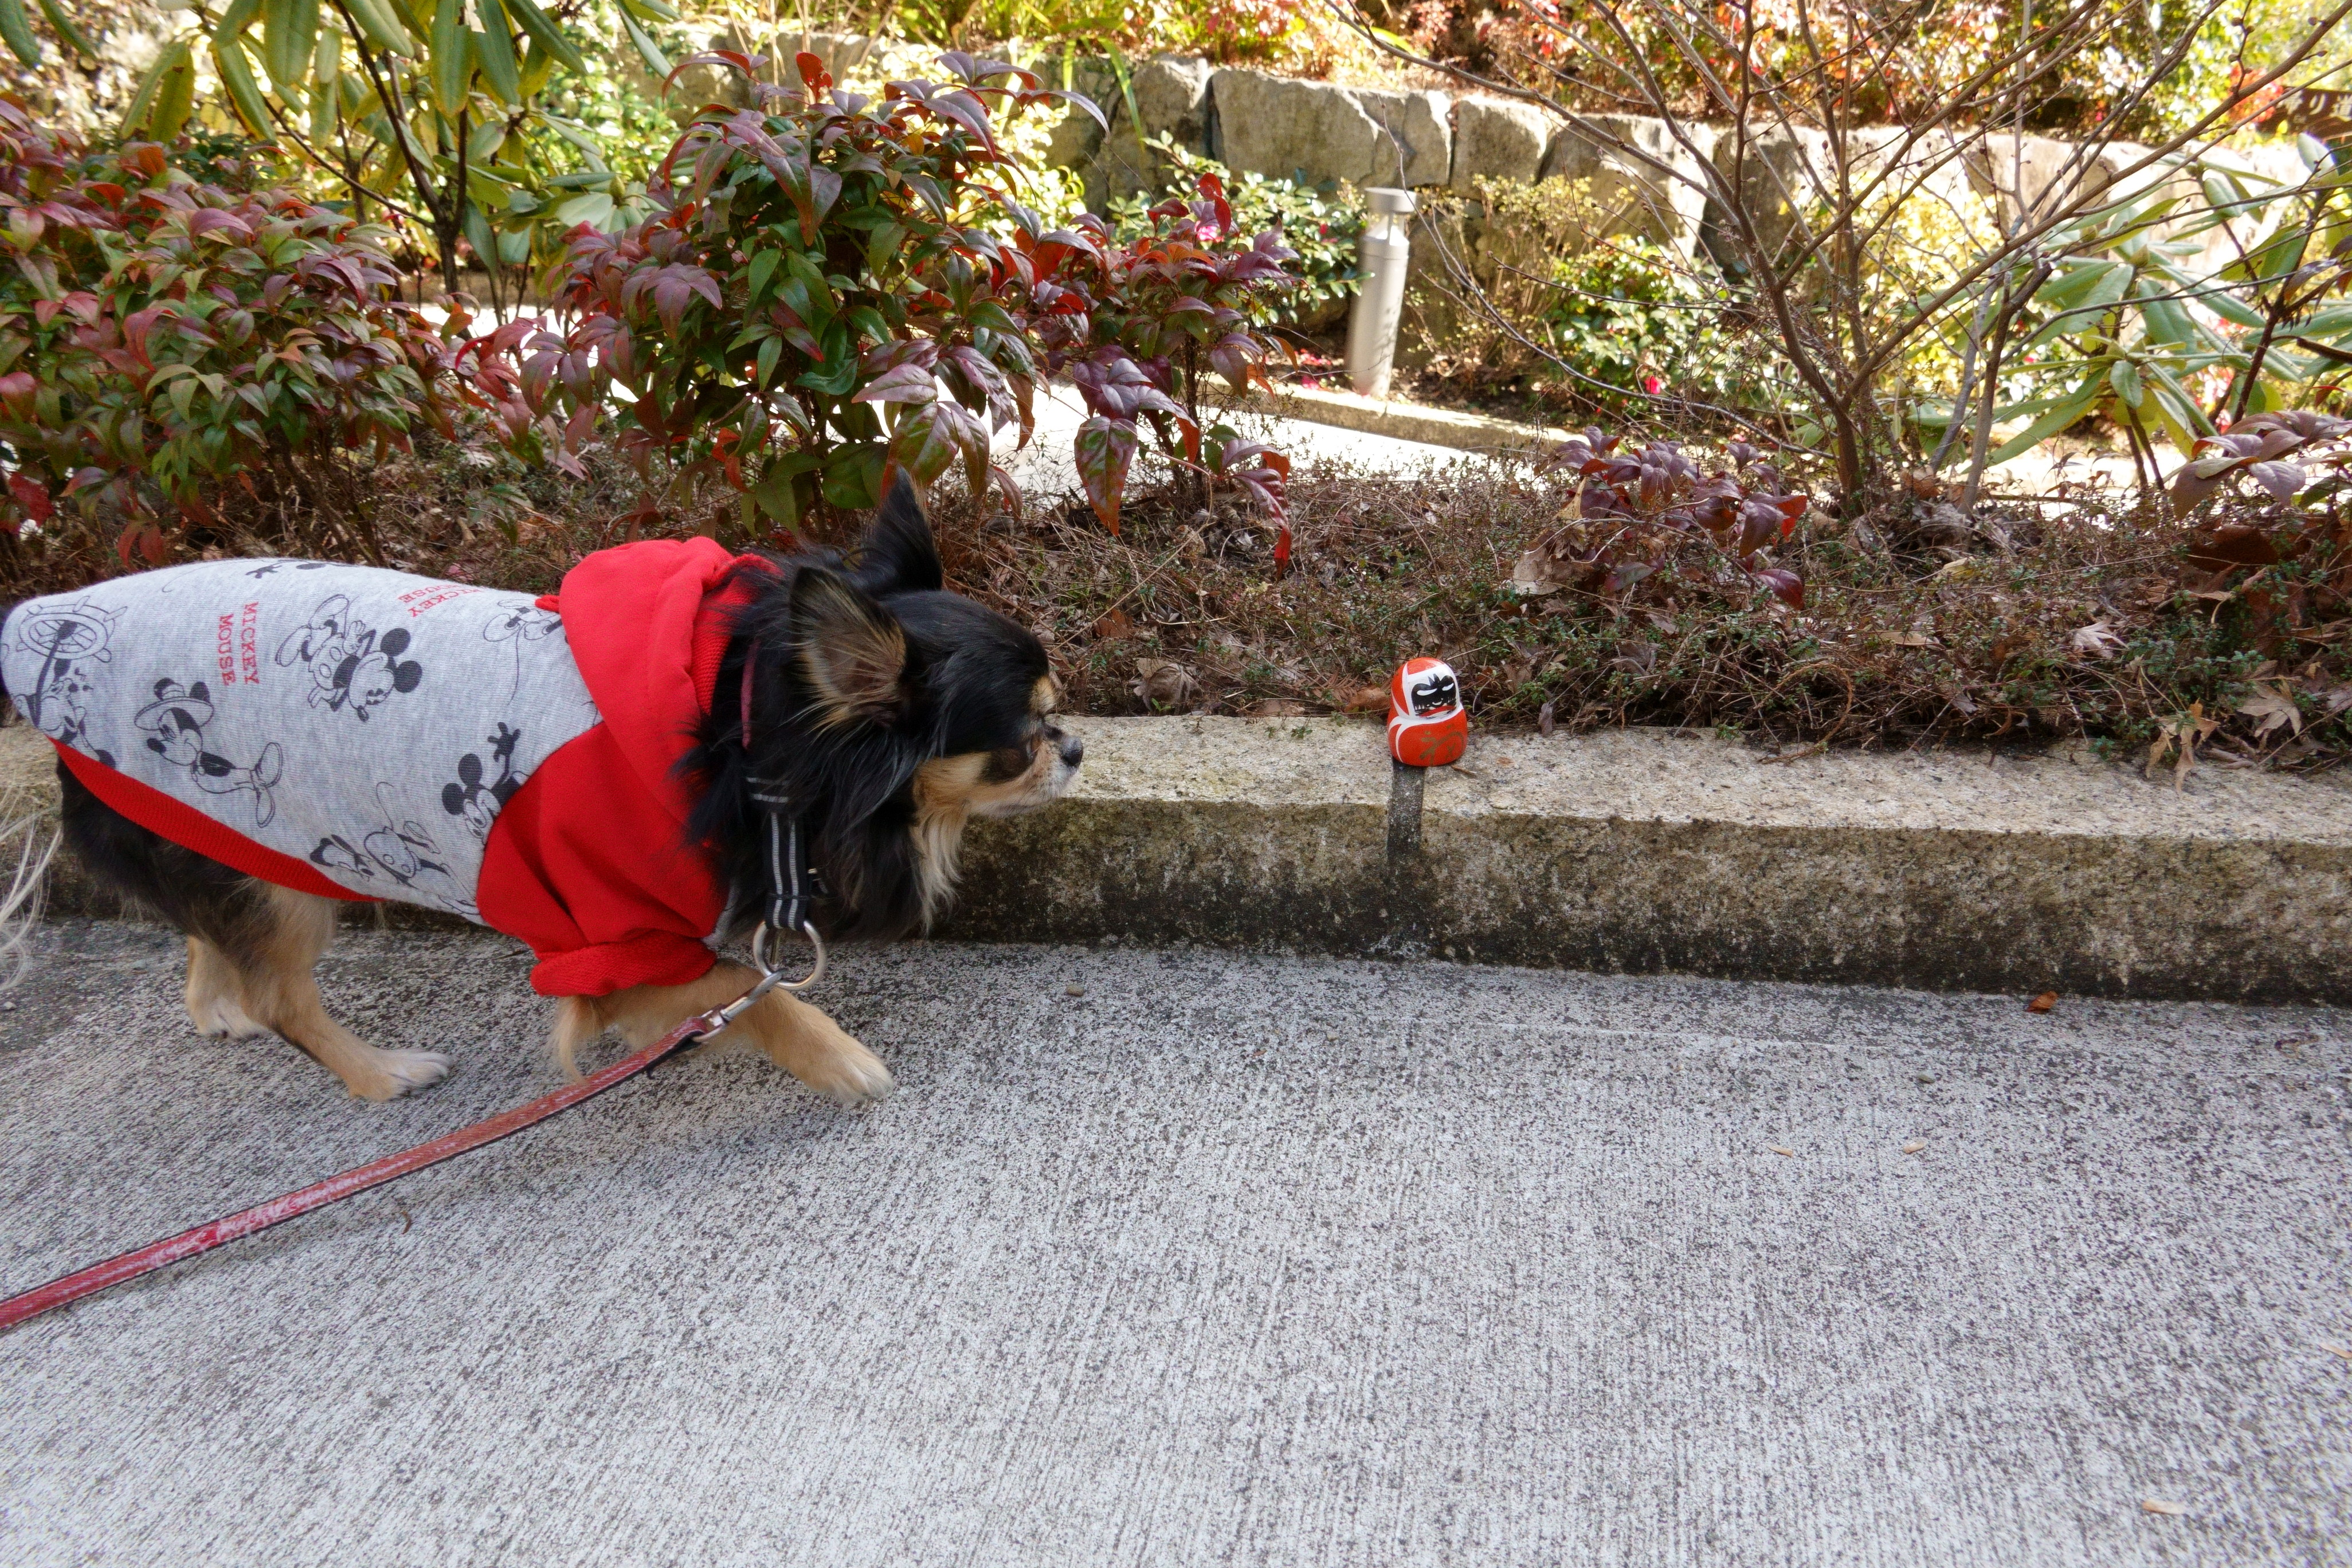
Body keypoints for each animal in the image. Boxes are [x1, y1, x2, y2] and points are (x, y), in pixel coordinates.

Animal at [0, 479, 1081, 1104]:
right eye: (1021, 739)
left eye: (1057, 713)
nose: (1073, 747)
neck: (740, 736)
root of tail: (49, 640)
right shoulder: (612, 940)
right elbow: (734, 988)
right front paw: (840, 1061)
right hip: (282, 875)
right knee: (284, 996)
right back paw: (377, 1075)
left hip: (236, 834)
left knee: (211, 931)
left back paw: (216, 1003)